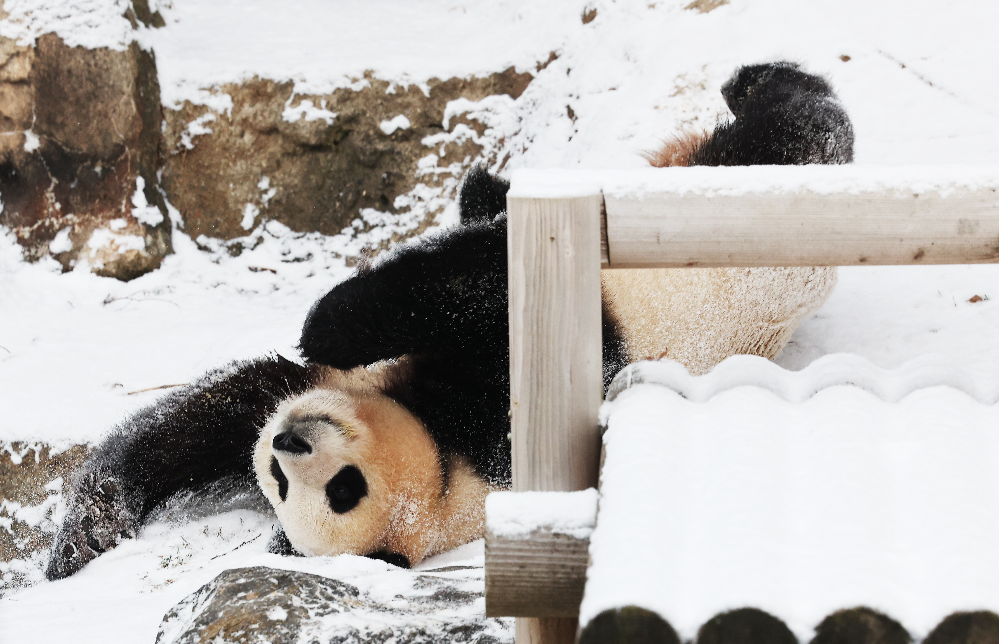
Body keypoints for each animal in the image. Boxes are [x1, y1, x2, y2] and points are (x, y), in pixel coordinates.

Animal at [45, 61, 852, 580]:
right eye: (279, 480)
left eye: (342, 489)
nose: (289, 441)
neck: (445, 470)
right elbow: (205, 418)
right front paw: (84, 536)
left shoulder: (496, 410)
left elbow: (470, 286)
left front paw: (326, 319)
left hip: (746, 211)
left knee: (798, 131)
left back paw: (752, 81)